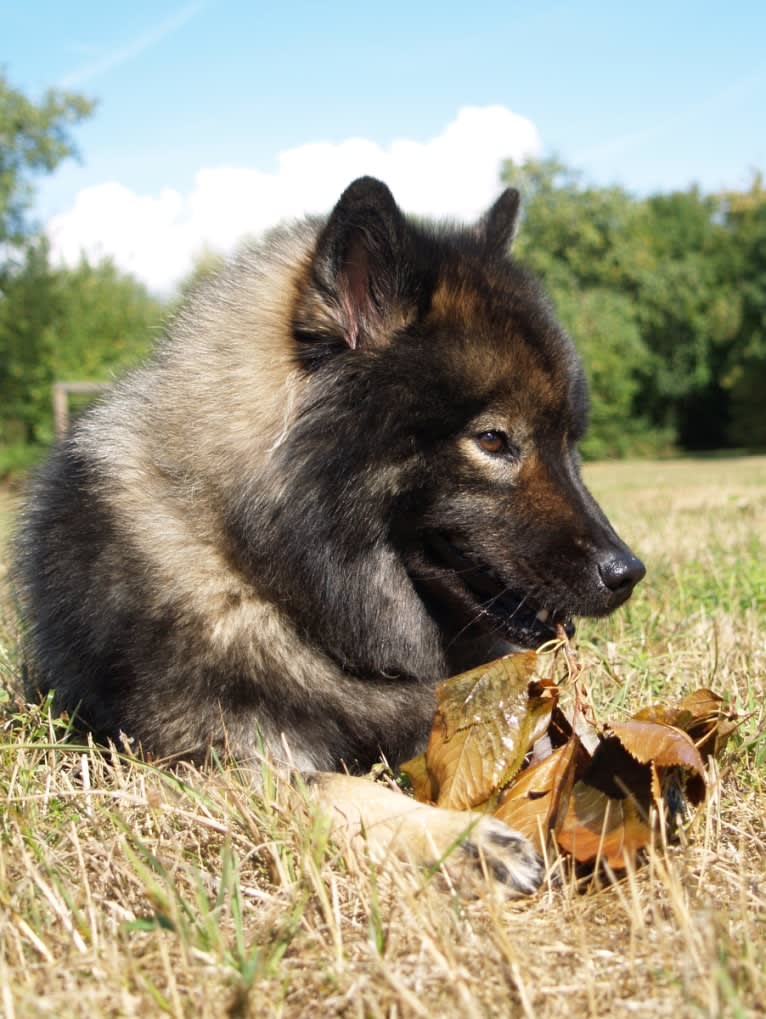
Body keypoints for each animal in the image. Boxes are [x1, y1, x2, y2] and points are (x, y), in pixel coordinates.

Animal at [14, 179, 643, 896]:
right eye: (492, 439)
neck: (273, 578)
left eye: (570, 441)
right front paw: (463, 839)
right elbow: (331, 787)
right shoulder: (197, 765)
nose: (628, 572)